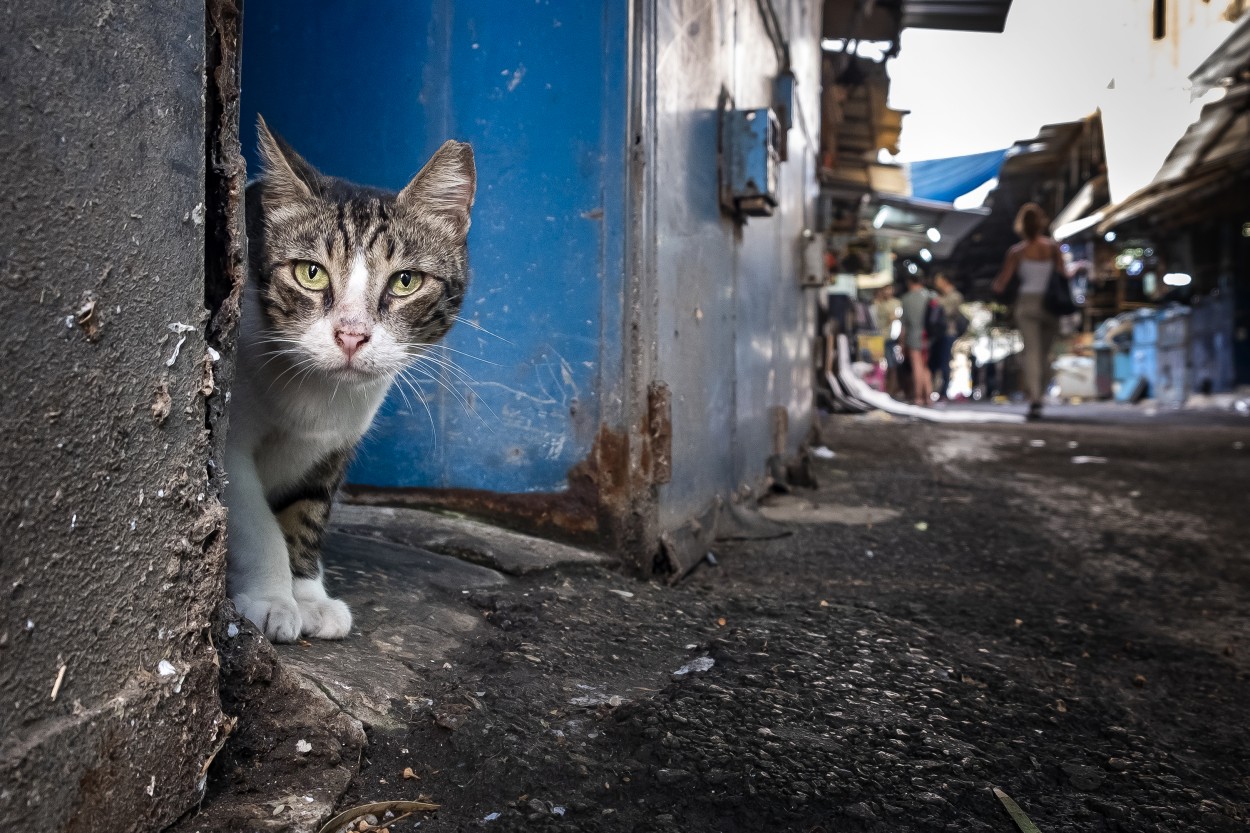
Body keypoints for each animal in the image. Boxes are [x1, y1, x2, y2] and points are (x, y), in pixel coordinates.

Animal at [225, 113, 472, 637]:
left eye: (405, 281)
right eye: (310, 273)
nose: (352, 334)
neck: (318, 392)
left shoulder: (334, 444)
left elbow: (306, 513)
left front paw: (308, 596)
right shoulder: (229, 442)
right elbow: (256, 521)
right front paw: (272, 598)